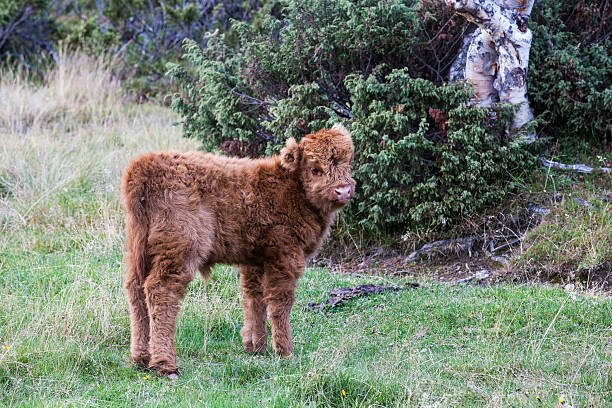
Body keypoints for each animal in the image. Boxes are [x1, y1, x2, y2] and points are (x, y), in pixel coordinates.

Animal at [120, 125, 356, 380]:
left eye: (347, 163)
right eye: (315, 169)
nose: (343, 191)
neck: (289, 188)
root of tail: (146, 164)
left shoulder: (255, 260)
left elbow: (254, 298)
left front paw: (256, 346)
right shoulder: (285, 257)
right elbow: (280, 302)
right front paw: (285, 352)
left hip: (137, 251)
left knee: (136, 291)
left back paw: (141, 358)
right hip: (178, 251)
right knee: (161, 292)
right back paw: (165, 365)